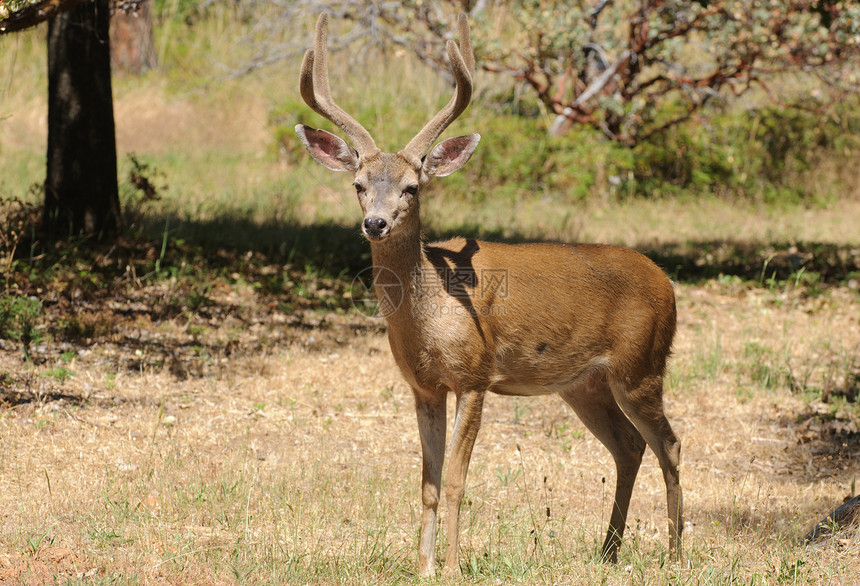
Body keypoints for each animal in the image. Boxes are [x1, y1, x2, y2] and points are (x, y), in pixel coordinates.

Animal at [296, 11, 684, 572]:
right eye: (359, 185)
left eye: (413, 186)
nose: (375, 223)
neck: (430, 317)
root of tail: (667, 283)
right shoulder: (424, 387)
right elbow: (429, 485)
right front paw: (423, 567)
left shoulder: (475, 376)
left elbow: (457, 481)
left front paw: (453, 567)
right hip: (584, 383)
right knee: (628, 445)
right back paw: (608, 550)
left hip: (642, 365)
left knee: (669, 444)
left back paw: (675, 553)